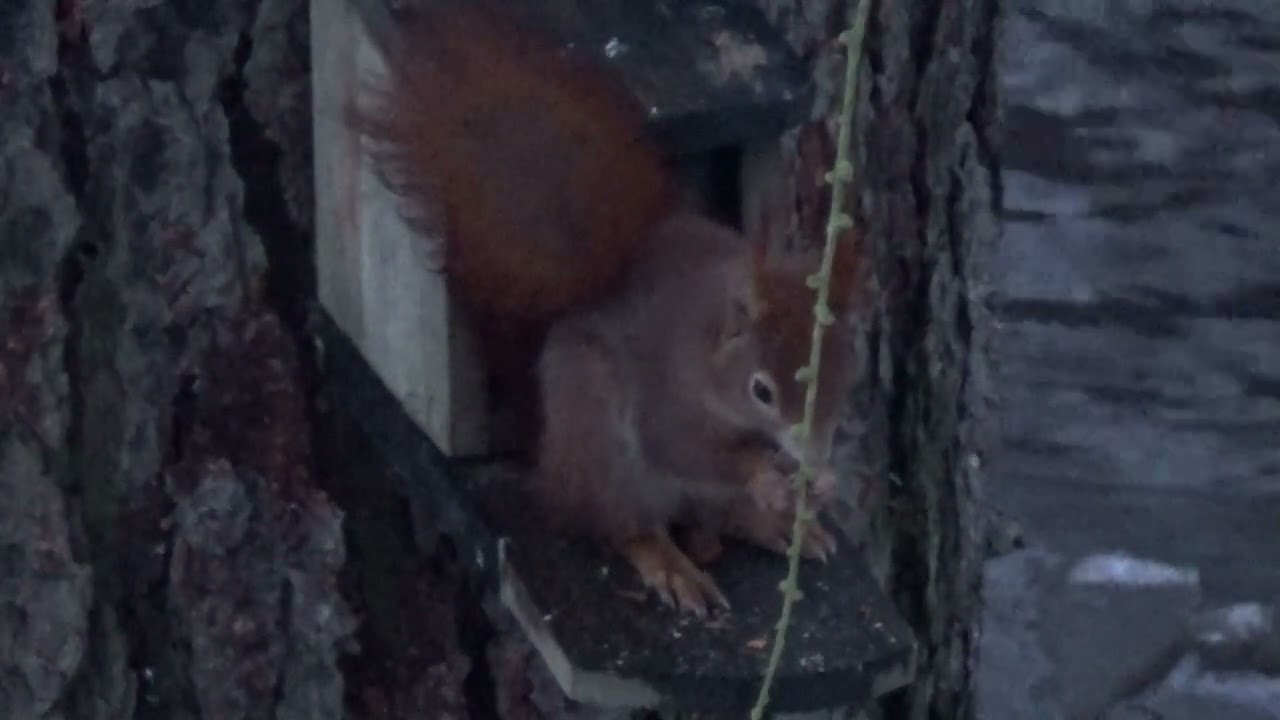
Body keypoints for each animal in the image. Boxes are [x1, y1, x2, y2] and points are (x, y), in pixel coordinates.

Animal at [352, 1, 864, 618]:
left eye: (845, 377)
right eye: (762, 391)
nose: (811, 454)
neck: (708, 354)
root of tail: (549, 454)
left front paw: (821, 482)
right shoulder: (668, 401)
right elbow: (688, 449)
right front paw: (764, 475)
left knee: (711, 514)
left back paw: (776, 525)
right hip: (600, 441)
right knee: (625, 524)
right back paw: (672, 562)